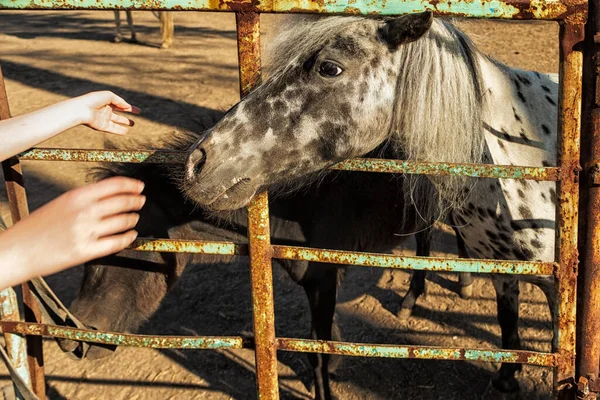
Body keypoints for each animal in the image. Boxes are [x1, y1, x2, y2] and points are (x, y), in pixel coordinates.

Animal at [61, 130, 472, 400]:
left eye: (122, 243)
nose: (73, 339)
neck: (296, 208)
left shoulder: (324, 280)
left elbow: (319, 352)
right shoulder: (316, 283)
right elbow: (317, 340)